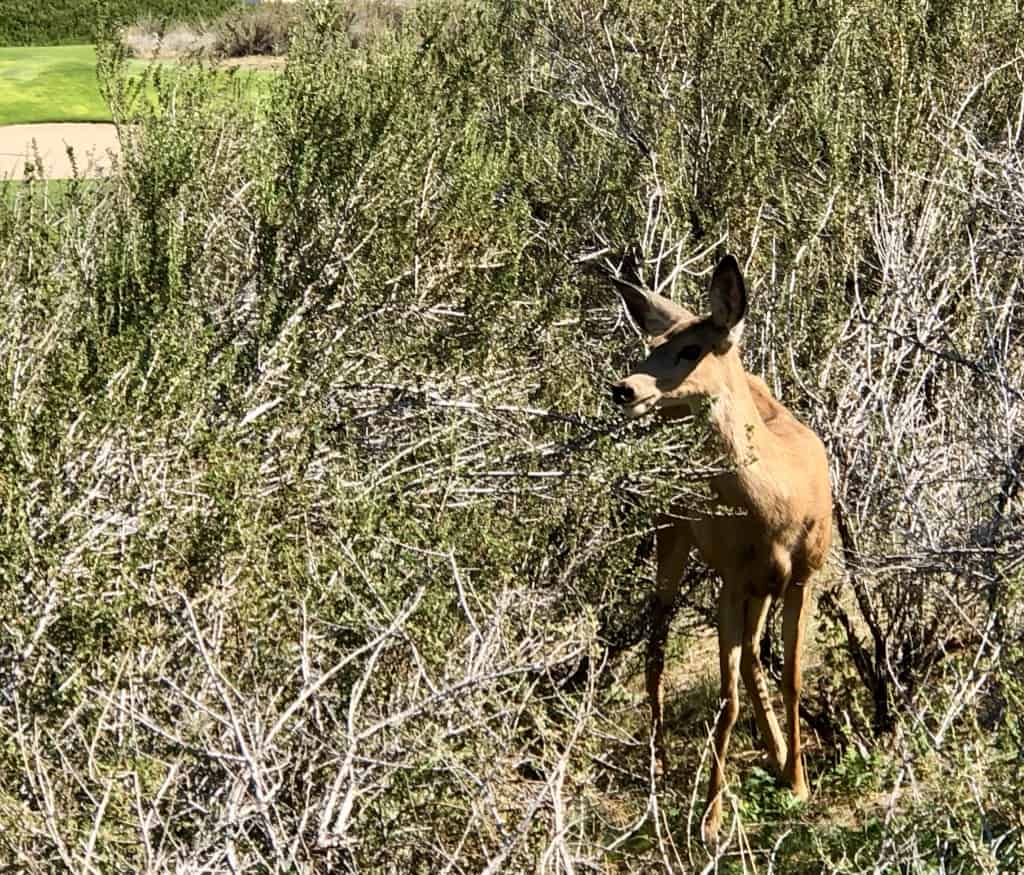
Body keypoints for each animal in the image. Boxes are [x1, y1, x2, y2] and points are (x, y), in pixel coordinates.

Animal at [606, 252, 832, 845]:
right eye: (652, 343)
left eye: (691, 349)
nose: (625, 388)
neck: (776, 502)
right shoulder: (731, 579)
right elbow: (725, 702)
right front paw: (711, 818)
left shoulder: (802, 575)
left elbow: (792, 677)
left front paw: (798, 782)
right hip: (671, 533)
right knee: (658, 642)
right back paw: (659, 760)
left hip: (757, 585)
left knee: (751, 656)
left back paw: (776, 754)